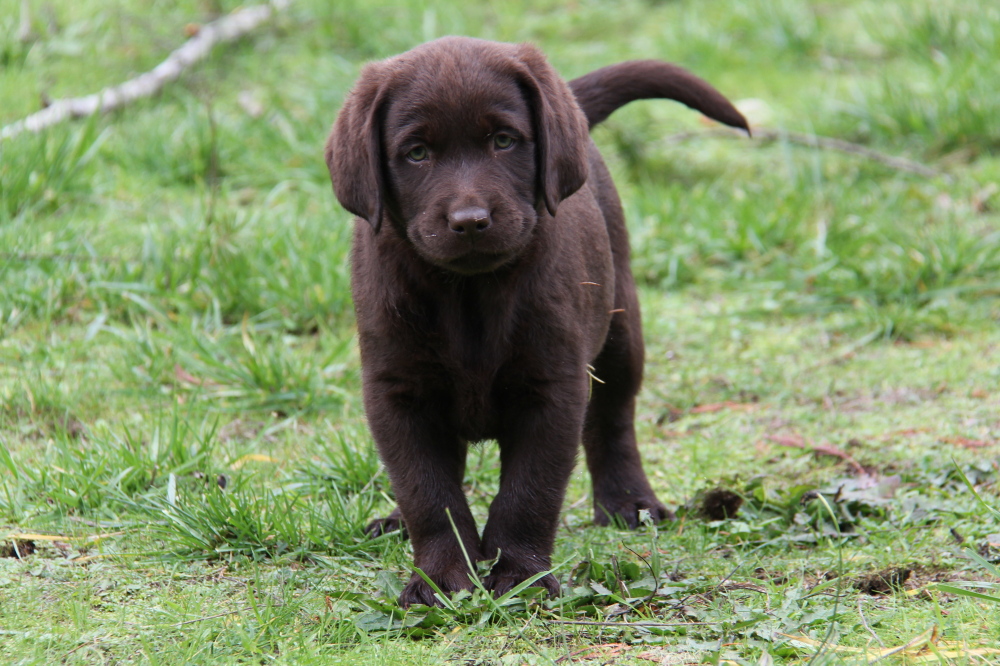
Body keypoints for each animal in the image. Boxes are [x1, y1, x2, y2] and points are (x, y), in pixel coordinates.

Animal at [324, 37, 748, 608]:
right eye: (416, 153)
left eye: (504, 141)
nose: (470, 222)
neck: (469, 293)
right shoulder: (396, 391)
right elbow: (427, 490)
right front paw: (441, 578)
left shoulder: (553, 388)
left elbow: (529, 492)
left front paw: (520, 577)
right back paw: (395, 520)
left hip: (620, 323)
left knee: (614, 418)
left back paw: (630, 502)